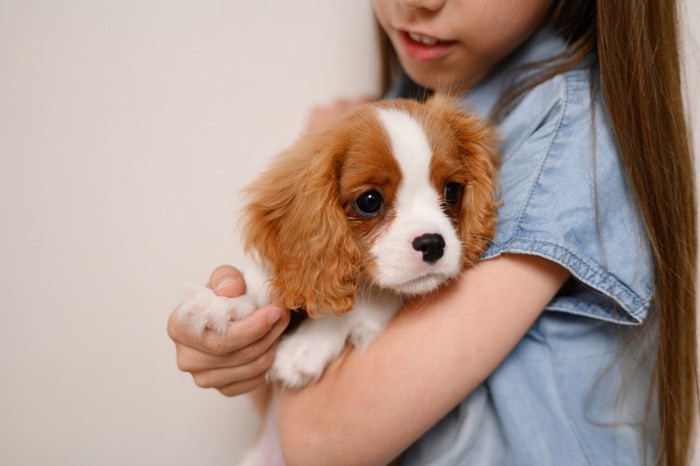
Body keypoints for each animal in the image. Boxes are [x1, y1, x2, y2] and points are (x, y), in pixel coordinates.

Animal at [178, 95, 500, 390]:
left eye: (452, 191)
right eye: (369, 201)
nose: (433, 244)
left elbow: (364, 303)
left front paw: (307, 344)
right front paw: (227, 299)